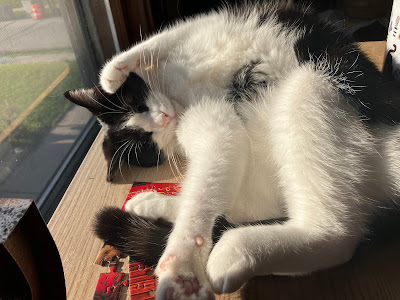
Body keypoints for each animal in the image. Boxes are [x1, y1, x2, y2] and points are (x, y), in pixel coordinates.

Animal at [65, 1, 400, 298]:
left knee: (336, 234)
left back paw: (232, 250)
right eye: (146, 144)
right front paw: (183, 260)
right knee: (250, 205)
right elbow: (208, 183)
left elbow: (156, 41)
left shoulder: (207, 25)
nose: (163, 119)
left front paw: (112, 74)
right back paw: (152, 205)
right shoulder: (216, 127)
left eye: (137, 103)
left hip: (315, 85)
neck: (180, 93)